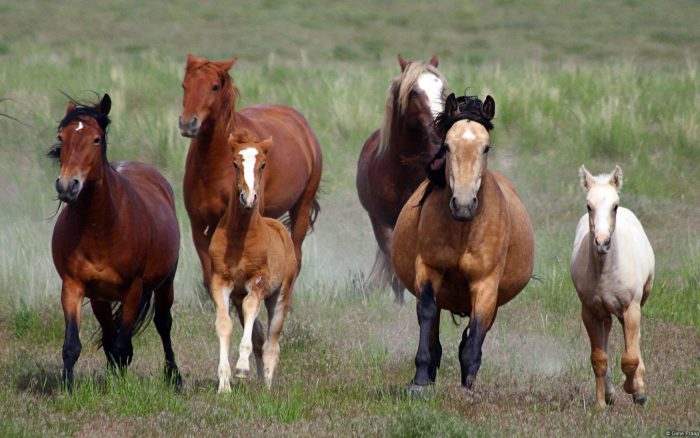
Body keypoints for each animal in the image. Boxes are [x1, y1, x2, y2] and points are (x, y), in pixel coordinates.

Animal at [50, 95, 182, 390]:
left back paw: (174, 376)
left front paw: (120, 385)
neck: (100, 229)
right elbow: (73, 345)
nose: (67, 186)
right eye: (62, 137)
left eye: (96, 139)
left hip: (165, 282)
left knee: (163, 323)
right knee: (110, 333)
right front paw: (67, 388)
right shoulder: (73, 285)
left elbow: (123, 344)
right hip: (100, 298)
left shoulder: (133, 288)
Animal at [179, 53, 324, 290]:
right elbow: (211, 277)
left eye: (214, 86)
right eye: (185, 85)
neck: (214, 167)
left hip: (302, 208)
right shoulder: (199, 226)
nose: (187, 123)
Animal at [358, 53, 446, 302]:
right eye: (414, 92)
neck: (405, 171)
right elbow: (393, 263)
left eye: (442, 89)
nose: (441, 127)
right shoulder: (383, 223)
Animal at [392, 93, 532, 394]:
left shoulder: (486, 284)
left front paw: (468, 389)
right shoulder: (428, 269)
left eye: (486, 148)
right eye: (447, 146)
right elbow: (427, 313)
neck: (463, 230)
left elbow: (475, 334)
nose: (464, 204)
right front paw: (420, 381)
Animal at [572, 165, 652, 408]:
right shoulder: (589, 312)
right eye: (589, 206)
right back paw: (609, 394)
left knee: (636, 341)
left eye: (614, 206)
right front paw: (600, 404)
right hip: (604, 312)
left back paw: (639, 389)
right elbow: (599, 358)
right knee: (607, 332)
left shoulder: (631, 308)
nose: (602, 242)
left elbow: (630, 358)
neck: (606, 272)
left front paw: (635, 389)